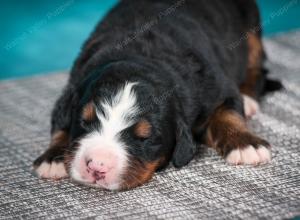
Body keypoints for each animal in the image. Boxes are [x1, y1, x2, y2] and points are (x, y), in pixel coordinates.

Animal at [32, 0, 282, 190]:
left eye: (145, 138)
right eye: (84, 121)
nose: (97, 166)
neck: (140, 55)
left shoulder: (218, 87)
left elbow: (229, 114)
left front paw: (245, 145)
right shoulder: (73, 83)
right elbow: (60, 123)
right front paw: (53, 158)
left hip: (252, 32)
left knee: (256, 70)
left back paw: (249, 100)